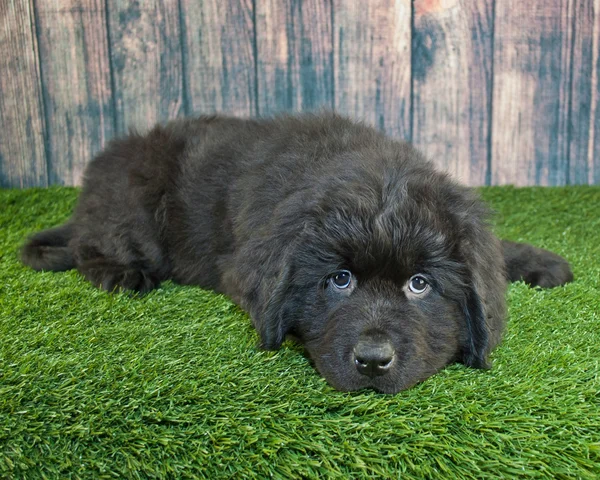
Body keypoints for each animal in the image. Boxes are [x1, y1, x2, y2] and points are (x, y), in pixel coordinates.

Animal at [21, 113, 572, 394]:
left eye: (420, 284)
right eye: (340, 279)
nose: (373, 361)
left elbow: (494, 252)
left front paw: (537, 261)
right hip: (135, 193)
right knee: (95, 239)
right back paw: (120, 272)